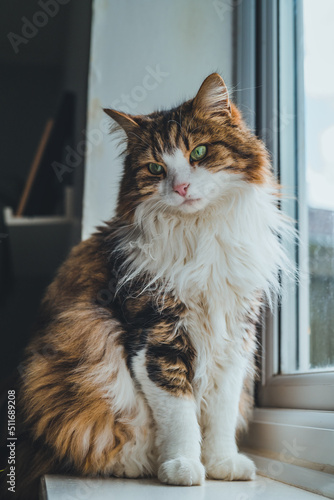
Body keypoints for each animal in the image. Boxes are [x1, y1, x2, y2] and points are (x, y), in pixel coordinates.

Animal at [0, 72, 290, 498]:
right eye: (155, 168)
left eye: (199, 152)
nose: (181, 188)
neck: (200, 236)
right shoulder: (156, 336)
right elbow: (179, 414)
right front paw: (183, 467)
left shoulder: (234, 338)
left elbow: (220, 413)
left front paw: (222, 464)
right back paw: (134, 467)